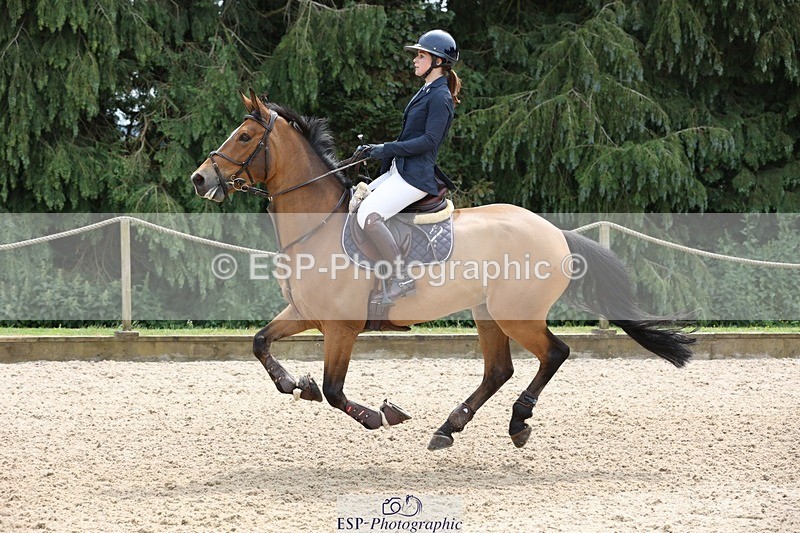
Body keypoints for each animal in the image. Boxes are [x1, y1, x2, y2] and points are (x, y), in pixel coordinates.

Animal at [190, 90, 695, 450]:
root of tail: (554, 232)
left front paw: (378, 415)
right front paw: (295, 384)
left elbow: (335, 390)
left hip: (517, 315)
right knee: (499, 370)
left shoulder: (341, 327)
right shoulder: (305, 315)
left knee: (554, 353)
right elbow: (260, 343)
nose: (200, 178)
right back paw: (450, 427)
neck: (318, 226)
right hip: (487, 313)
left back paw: (518, 421)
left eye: (244, 137)